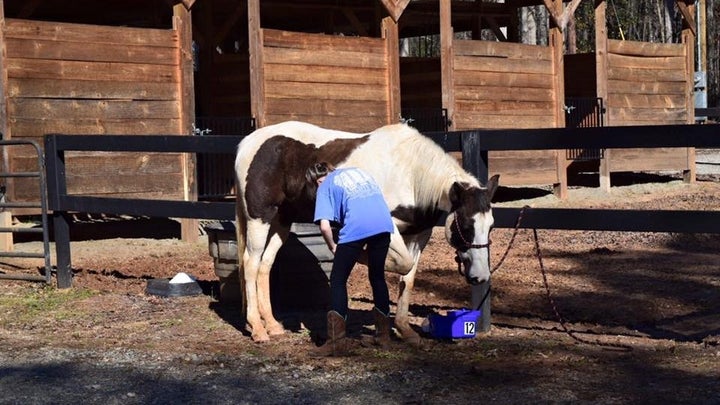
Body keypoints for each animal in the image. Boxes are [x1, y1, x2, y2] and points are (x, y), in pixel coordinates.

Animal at [233, 118, 498, 342]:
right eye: (466, 225)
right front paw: (363, 257)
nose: (481, 276)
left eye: (491, 226)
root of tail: (247, 143)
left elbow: (408, 276)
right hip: (260, 218)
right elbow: (400, 264)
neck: (410, 174)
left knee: (265, 265)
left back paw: (273, 326)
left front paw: (404, 329)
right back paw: (258, 329)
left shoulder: (418, 234)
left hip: (282, 222)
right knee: (251, 263)